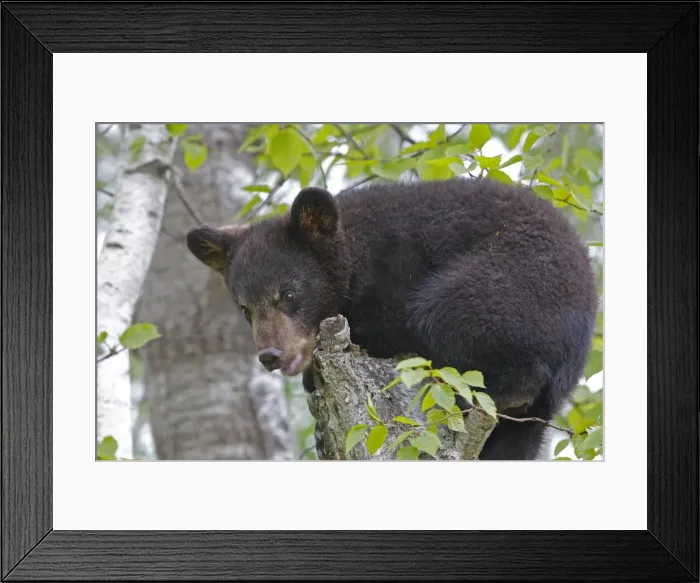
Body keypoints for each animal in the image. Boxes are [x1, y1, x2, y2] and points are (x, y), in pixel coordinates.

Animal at [186, 177, 598, 460]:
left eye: (288, 294)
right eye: (245, 308)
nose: (271, 355)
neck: (353, 253)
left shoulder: (395, 269)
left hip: (506, 285)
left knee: (447, 317)